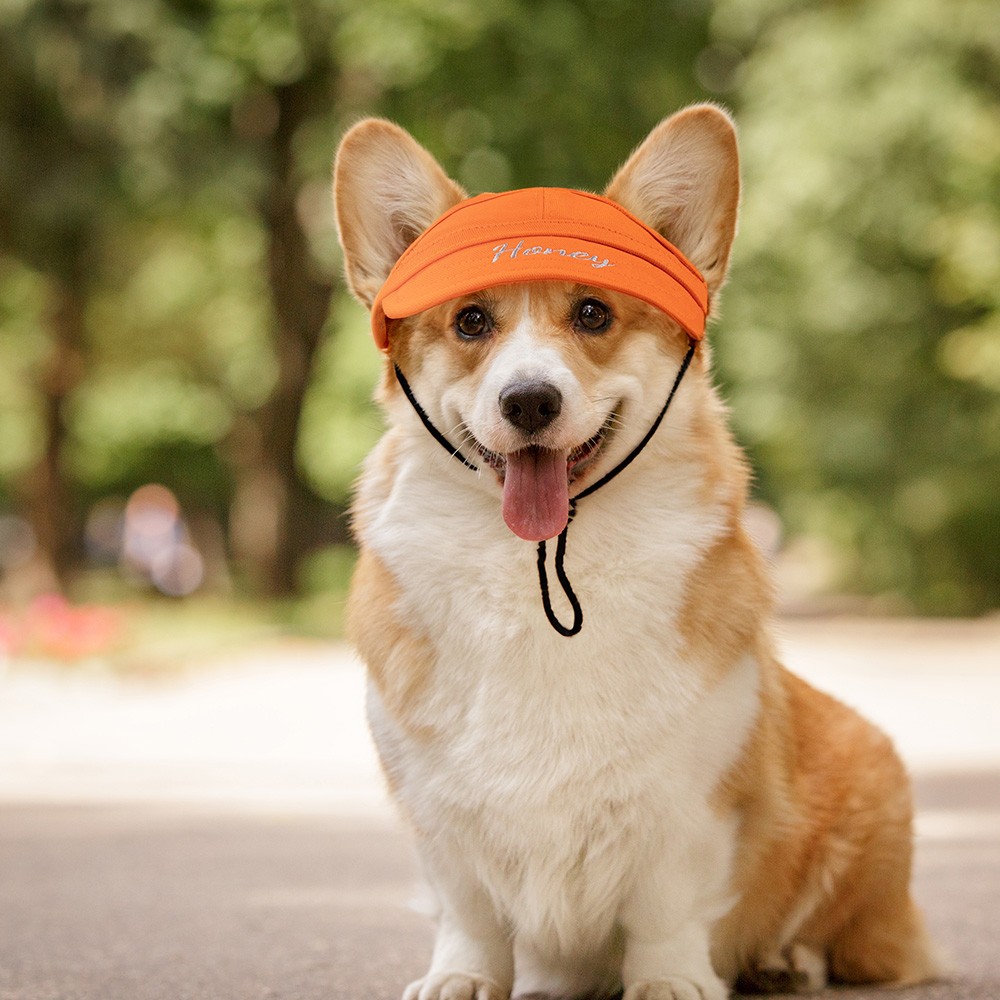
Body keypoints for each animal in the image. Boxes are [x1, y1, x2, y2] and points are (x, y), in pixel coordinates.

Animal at [332, 107, 940, 1000]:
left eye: (592, 314)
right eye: (471, 321)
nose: (530, 401)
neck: (539, 572)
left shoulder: (693, 803)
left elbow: (665, 907)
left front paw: (672, 981)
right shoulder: (436, 808)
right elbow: (467, 910)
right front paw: (460, 978)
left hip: (872, 798)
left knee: (854, 942)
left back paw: (789, 962)